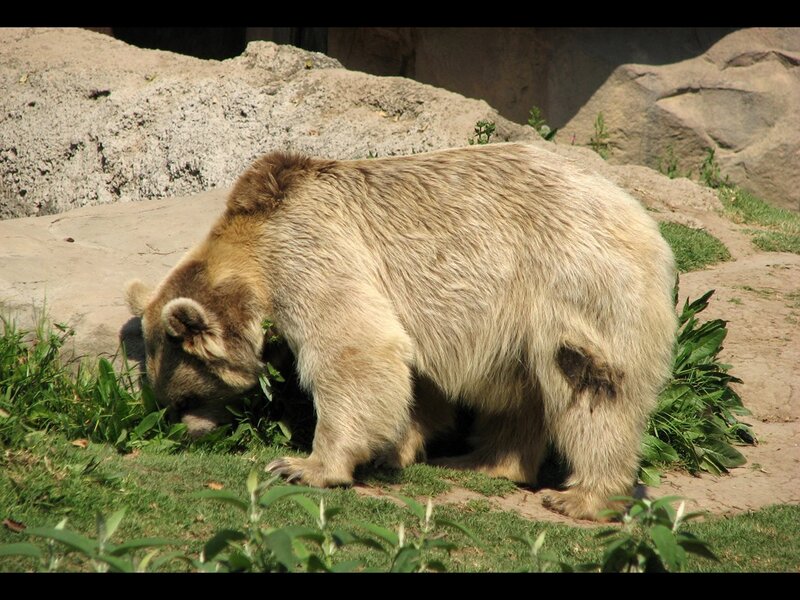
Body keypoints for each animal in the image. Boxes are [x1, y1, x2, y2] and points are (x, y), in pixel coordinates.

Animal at [125, 142, 677, 520]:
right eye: (168, 400)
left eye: (185, 397)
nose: (184, 431)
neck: (253, 240)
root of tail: (642, 220)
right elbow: (414, 378)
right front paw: (397, 450)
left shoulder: (311, 250)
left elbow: (354, 348)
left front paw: (305, 465)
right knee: (525, 392)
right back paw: (481, 461)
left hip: (575, 282)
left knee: (590, 383)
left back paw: (584, 496)